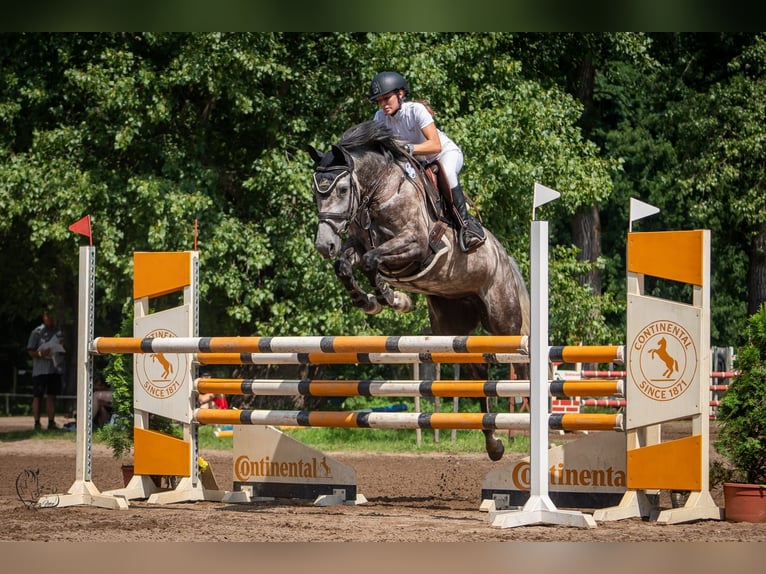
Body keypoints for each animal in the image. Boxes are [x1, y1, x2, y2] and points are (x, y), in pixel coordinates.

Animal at [308, 120, 530, 461]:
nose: (324, 245)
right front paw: (371, 301)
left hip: (503, 321)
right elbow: (346, 266)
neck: (380, 192)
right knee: (478, 370)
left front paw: (393, 298)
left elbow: (372, 263)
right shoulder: (359, 244)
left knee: (522, 359)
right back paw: (493, 445)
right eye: (315, 192)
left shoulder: (416, 245)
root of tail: (504, 256)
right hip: (450, 328)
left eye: (343, 189)